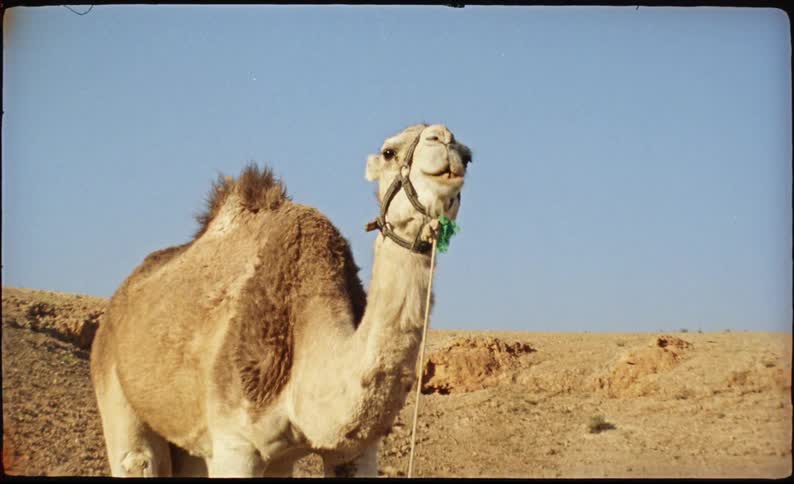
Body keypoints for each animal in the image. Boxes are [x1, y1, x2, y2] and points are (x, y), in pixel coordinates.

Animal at [89, 123, 472, 477]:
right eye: (389, 152)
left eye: (468, 156)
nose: (444, 139)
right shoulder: (234, 444)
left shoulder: (353, 451)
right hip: (114, 386)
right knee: (135, 458)